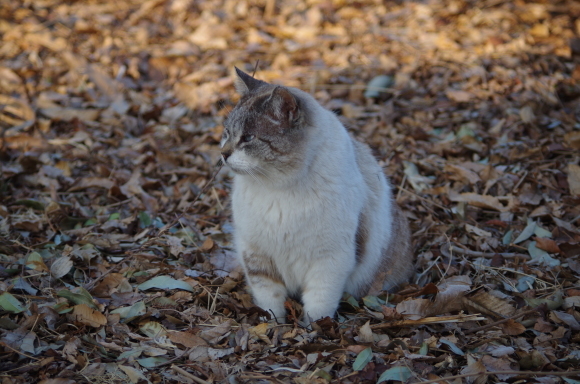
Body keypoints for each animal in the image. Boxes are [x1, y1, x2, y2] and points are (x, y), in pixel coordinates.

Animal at [220, 67, 414, 322]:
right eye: (227, 133)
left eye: (248, 138)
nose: (223, 154)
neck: (277, 188)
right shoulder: (256, 254)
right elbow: (269, 300)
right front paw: (274, 325)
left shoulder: (329, 261)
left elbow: (318, 306)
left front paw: (312, 329)